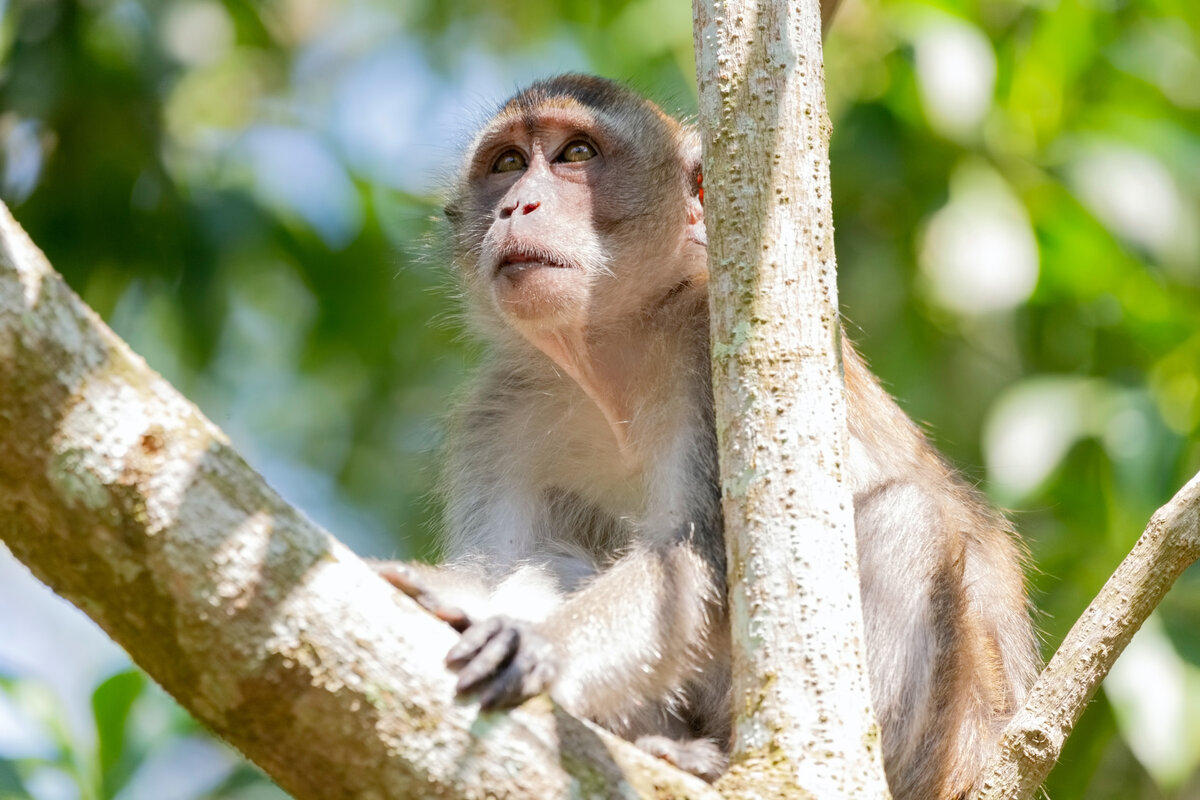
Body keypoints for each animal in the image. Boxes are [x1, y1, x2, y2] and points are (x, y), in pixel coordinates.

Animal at [376, 74, 1041, 800]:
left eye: (575, 153)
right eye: (506, 164)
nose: (517, 205)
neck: (613, 354)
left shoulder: (706, 346)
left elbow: (692, 559)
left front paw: (535, 644)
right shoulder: (497, 415)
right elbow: (504, 562)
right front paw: (453, 598)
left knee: (908, 518)